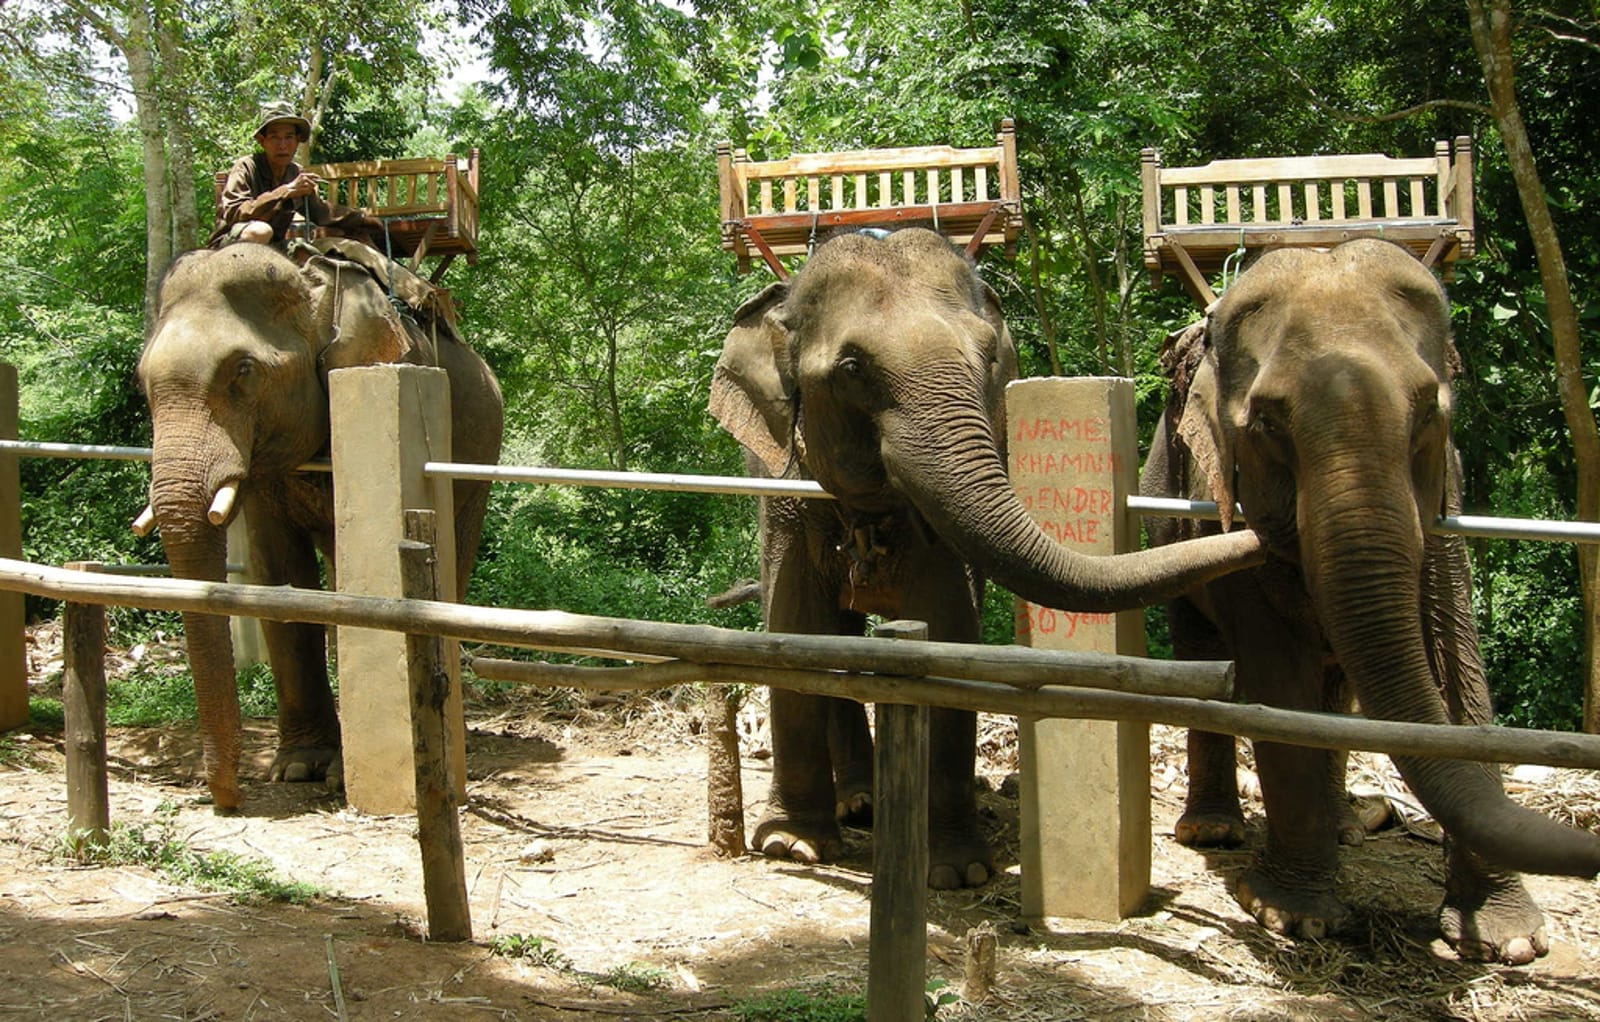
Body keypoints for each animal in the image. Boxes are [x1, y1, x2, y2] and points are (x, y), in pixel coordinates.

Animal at [137, 239, 504, 812]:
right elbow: (279, 574)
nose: (227, 801)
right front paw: (297, 769)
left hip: (478, 453)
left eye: (243, 370)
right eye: (140, 380)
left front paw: (335, 773)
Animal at [710, 227, 1266, 889]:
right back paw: (856, 806)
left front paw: (959, 872)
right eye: (850, 369)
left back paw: (867, 805)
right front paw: (791, 847)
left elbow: (950, 629)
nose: (1264, 531)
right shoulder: (783, 492)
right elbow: (792, 625)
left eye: (988, 359)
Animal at [1140, 238, 1600, 964]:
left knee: (1340, 688)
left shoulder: (1447, 503)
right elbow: (1279, 680)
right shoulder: (1223, 499)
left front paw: (1509, 941)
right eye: (1266, 423)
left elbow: (1456, 666)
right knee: (1201, 647)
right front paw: (1292, 917)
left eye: (1430, 413)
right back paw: (1214, 833)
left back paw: (1346, 831)